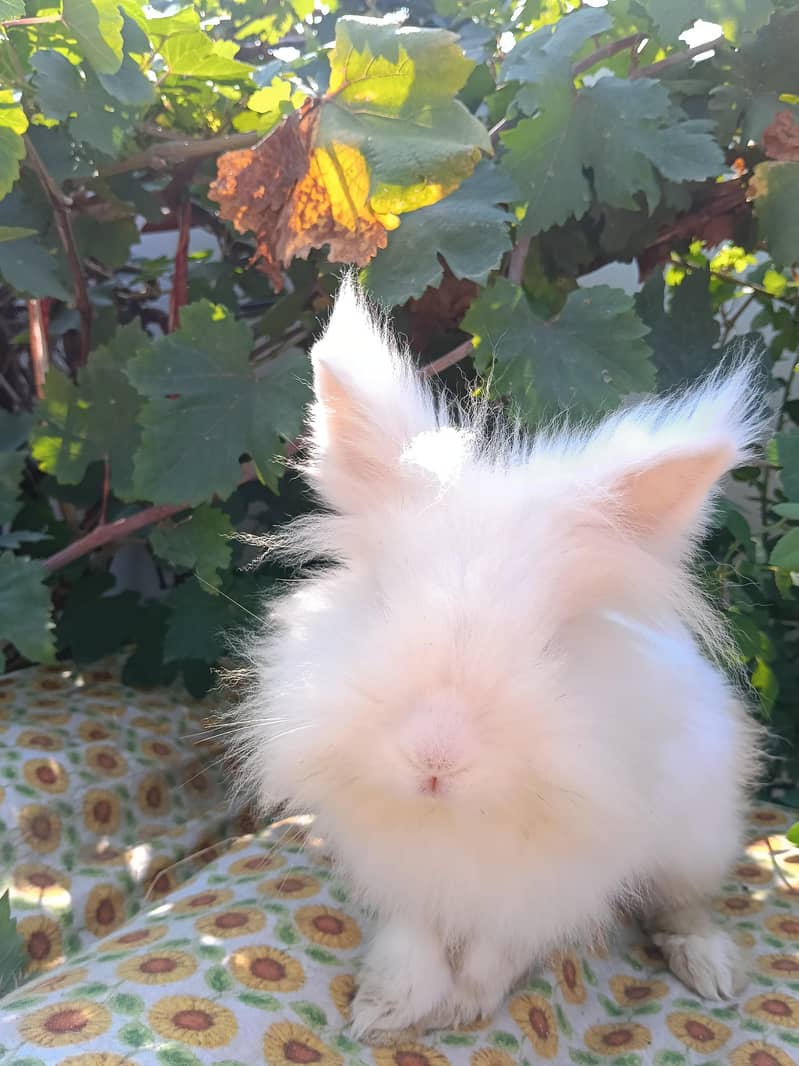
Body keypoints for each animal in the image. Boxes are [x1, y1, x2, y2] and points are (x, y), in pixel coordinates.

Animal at [234, 276, 766, 1044]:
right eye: (382, 599)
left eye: (549, 642)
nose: (435, 758)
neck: (455, 822)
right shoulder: (401, 871)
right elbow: (411, 940)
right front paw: (382, 1010)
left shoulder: (547, 886)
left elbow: (495, 950)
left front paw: (459, 1007)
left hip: (696, 836)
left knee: (682, 901)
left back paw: (710, 968)